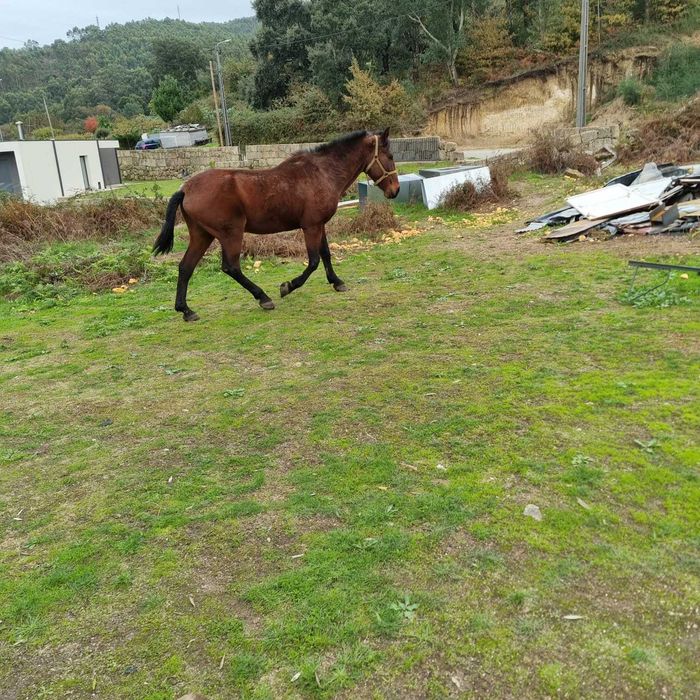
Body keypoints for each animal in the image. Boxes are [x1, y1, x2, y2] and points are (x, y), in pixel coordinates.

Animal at [152, 128, 400, 321]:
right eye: (390, 155)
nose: (395, 190)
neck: (323, 173)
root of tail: (186, 189)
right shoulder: (310, 227)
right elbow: (313, 261)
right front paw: (287, 286)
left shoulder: (319, 225)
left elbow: (326, 254)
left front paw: (337, 282)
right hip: (230, 234)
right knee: (231, 267)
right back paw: (263, 298)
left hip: (202, 235)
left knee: (185, 267)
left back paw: (186, 310)